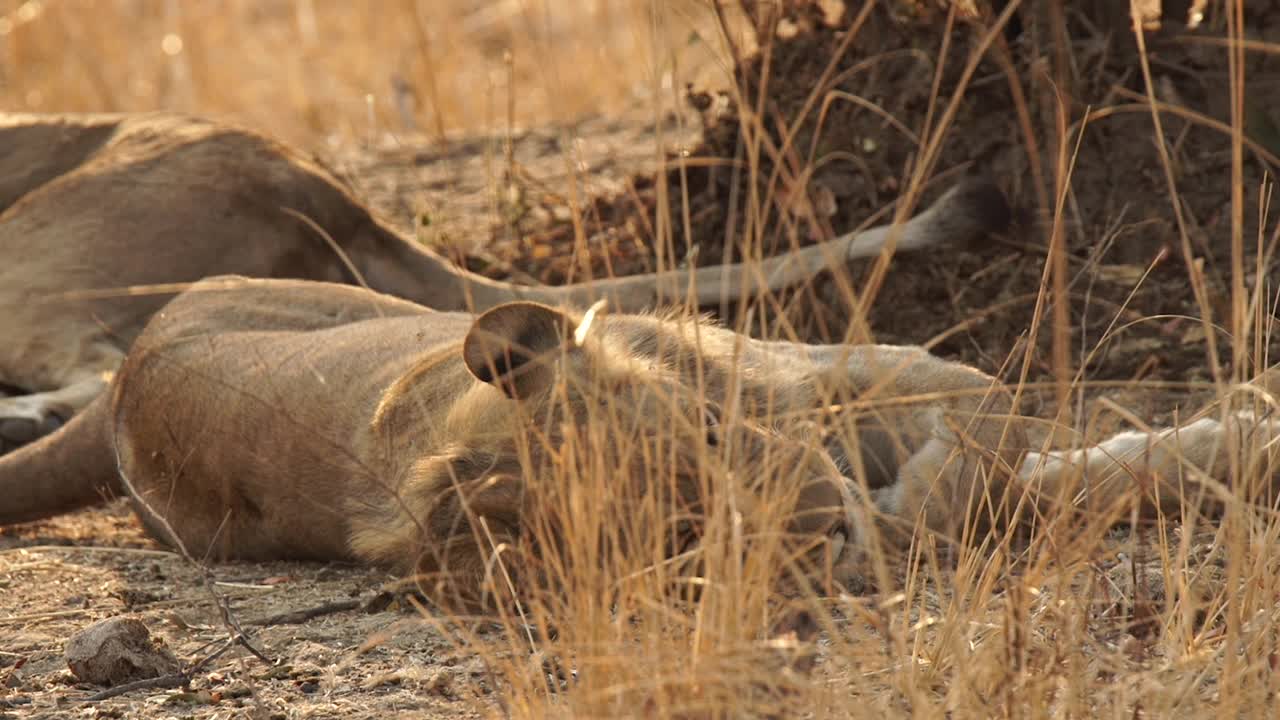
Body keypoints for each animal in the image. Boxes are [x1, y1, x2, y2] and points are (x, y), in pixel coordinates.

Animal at [2, 274, 1280, 604]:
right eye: (677, 534)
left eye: (706, 442)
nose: (814, 523)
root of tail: (123, 377)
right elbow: (1005, 484)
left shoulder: (882, 379)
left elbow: (1000, 445)